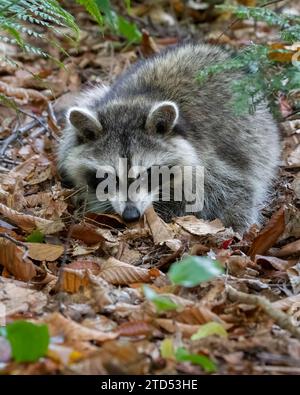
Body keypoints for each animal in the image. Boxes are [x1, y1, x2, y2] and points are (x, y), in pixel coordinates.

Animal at [57, 42, 280, 232]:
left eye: (147, 173)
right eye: (107, 176)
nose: (131, 215)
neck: (135, 100)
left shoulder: (213, 159)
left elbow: (237, 188)